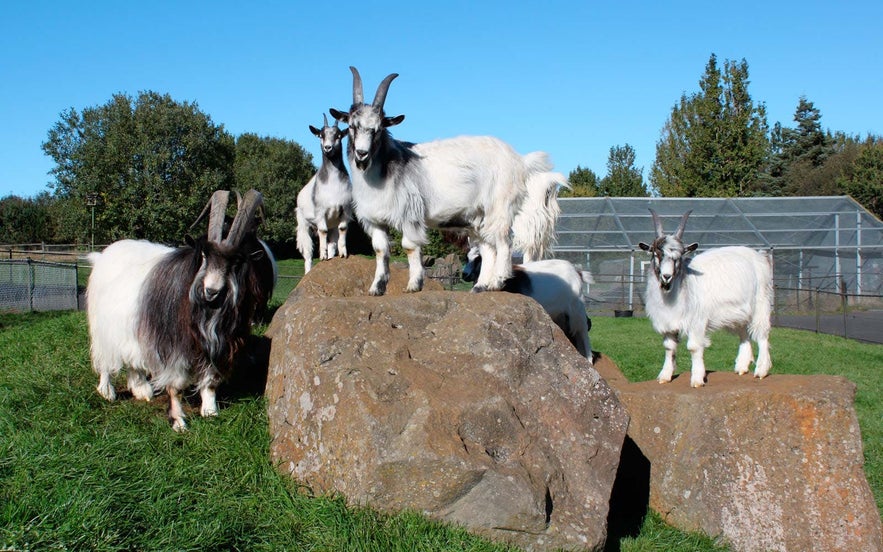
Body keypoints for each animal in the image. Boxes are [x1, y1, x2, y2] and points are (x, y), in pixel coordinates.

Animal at [85, 191, 276, 432]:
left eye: (237, 261)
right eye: (204, 255)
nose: (211, 291)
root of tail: (103, 256)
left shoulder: (219, 344)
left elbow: (210, 380)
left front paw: (210, 410)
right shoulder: (172, 347)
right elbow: (175, 385)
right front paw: (178, 421)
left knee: (132, 359)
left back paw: (141, 389)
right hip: (101, 325)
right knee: (103, 357)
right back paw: (107, 391)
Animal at [296, 113, 352, 274]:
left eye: (338, 135)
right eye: (321, 135)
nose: (328, 147)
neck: (333, 185)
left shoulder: (345, 211)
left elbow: (343, 229)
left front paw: (343, 253)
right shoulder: (320, 212)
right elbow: (322, 231)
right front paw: (322, 256)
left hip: (332, 223)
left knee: (332, 242)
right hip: (303, 223)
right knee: (308, 253)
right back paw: (308, 271)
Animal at [332, 67, 568, 298]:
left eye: (378, 128)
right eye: (351, 126)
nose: (362, 154)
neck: (386, 170)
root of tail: (519, 161)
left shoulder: (410, 215)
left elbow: (409, 246)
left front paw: (414, 285)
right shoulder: (375, 220)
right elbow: (381, 250)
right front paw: (377, 288)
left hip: (499, 208)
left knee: (503, 243)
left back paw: (497, 281)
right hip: (478, 218)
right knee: (487, 248)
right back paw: (480, 287)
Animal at [462, 249, 592, 362]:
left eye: (479, 259)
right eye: (467, 258)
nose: (464, 275)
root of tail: (576, 271)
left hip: (577, 309)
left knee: (583, 331)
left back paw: (589, 359)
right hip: (560, 314)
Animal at [640, 208, 772, 388]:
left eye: (680, 256)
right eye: (655, 253)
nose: (667, 277)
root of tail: (757, 256)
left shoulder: (697, 321)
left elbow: (694, 347)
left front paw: (697, 379)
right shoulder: (667, 324)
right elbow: (669, 348)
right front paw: (665, 376)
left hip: (761, 302)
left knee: (762, 334)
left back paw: (761, 370)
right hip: (738, 312)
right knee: (743, 333)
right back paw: (742, 366)